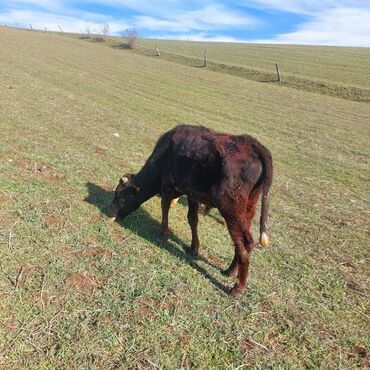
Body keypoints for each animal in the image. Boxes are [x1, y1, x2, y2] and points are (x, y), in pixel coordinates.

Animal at [108, 125, 274, 296]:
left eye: (120, 196)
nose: (109, 212)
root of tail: (251, 142)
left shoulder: (167, 185)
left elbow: (164, 208)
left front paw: (162, 234)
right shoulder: (192, 194)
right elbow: (192, 219)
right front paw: (194, 248)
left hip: (230, 207)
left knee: (244, 241)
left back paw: (238, 287)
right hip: (248, 207)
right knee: (240, 240)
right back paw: (230, 271)